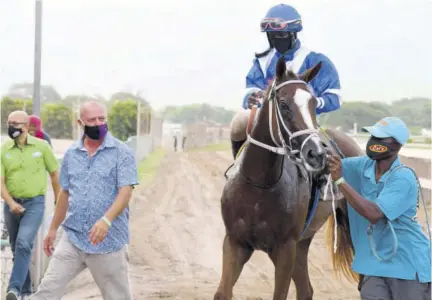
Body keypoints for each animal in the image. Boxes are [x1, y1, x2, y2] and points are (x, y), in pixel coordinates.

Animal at [214, 56, 362, 300]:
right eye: (283, 105)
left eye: (313, 104)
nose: (316, 154)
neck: (260, 185)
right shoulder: (235, 243)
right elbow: (223, 292)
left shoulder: (284, 248)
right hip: (303, 242)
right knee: (305, 289)